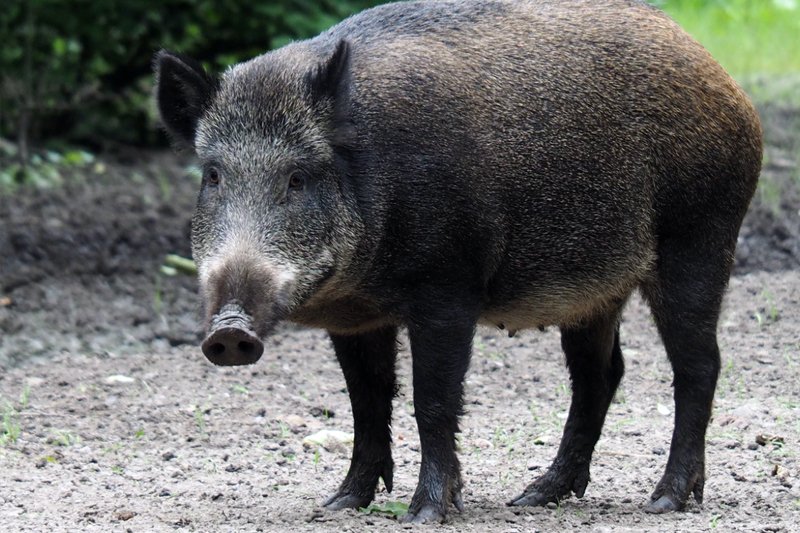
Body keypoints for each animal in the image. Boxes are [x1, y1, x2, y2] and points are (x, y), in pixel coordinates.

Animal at [154, 0, 762, 524]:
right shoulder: (354, 318)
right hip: (595, 291)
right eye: (213, 175)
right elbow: (367, 402)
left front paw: (426, 514)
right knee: (600, 375)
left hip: (700, 238)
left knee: (698, 366)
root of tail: (727, 83)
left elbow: (434, 399)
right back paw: (534, 496)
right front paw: (341, 503)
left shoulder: (448, 287)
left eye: (297, 178)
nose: (230, 332)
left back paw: (664, 501)